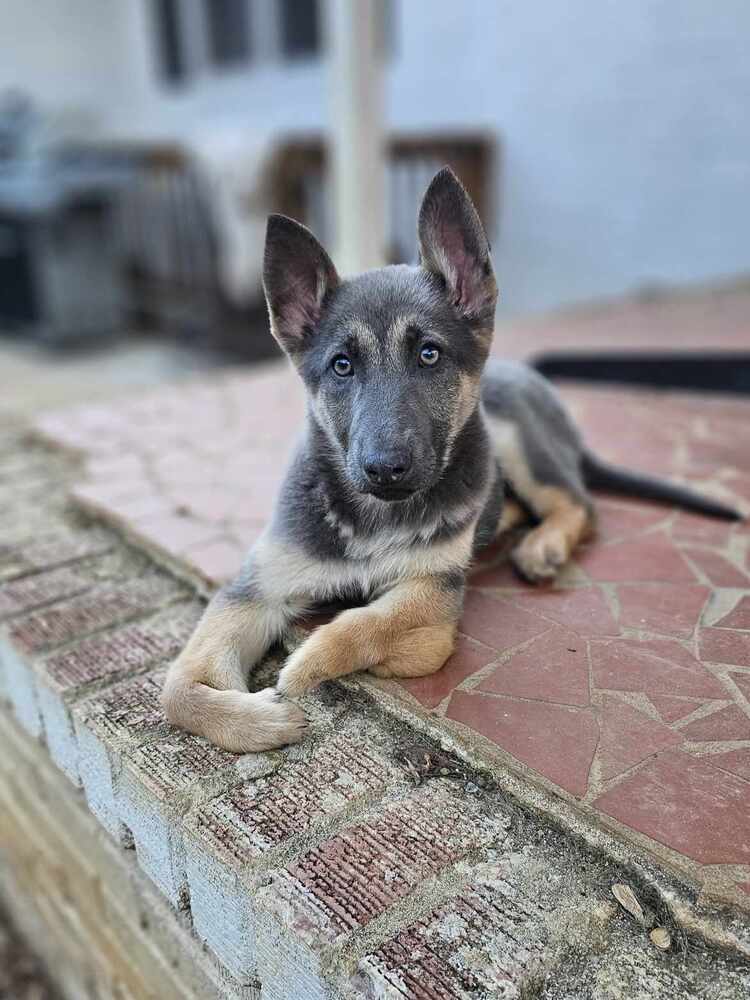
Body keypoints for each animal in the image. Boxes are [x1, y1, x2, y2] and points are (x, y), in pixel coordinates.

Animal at [162, 168, 744, 752]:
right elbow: (176, 689)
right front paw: (253, 721)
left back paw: (543, 544)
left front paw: (310, 663)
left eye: (429, 355)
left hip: (514, 440)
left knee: (579, 504)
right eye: (342, 365)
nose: (385, 468)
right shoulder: (253, 589)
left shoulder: (434, 591)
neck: (374, 518)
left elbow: (372, 625)